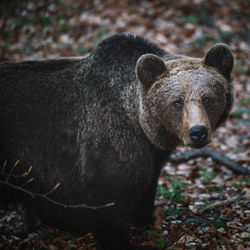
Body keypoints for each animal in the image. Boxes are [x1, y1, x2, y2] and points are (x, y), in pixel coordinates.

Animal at [0, 33, 234, 250]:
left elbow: (147, 187)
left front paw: (145, 219)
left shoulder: (152, 153)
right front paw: (119, 239)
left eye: (207, 98)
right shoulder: (106, 147)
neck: (139, 122)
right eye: (177, 102)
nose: (198, 132)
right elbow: (107, 204)